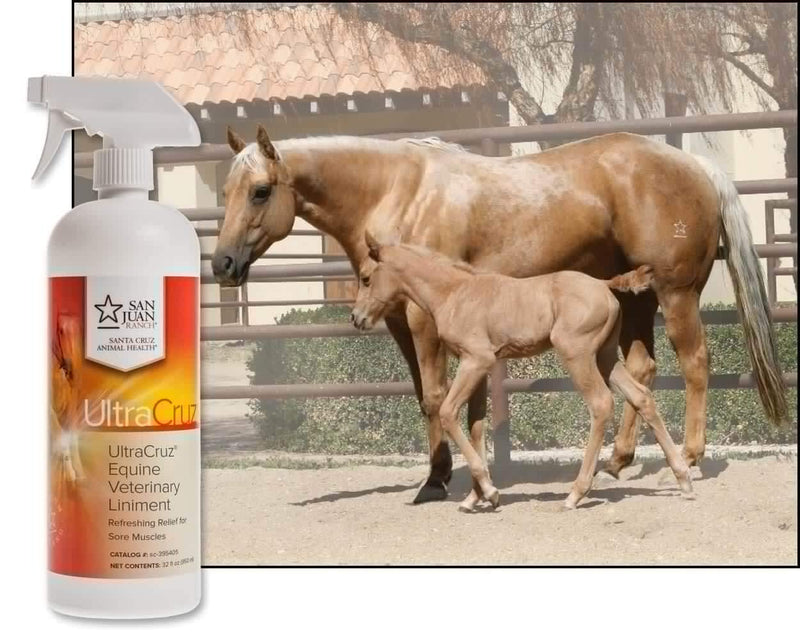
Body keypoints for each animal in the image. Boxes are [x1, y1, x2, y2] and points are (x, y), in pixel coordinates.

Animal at [351, 234, 694, 510]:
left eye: (366, 278)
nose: (356, 318)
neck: (454, 292)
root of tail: (603, 284)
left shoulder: (475, 360)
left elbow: (448, 413)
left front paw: (490, 492)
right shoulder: (479, 365)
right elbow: (476, 425)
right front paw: (475, 497)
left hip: (578, 355)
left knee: (601, 404)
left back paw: (576, 493)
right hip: (605, 356)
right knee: (642, 397)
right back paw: (683, 480)